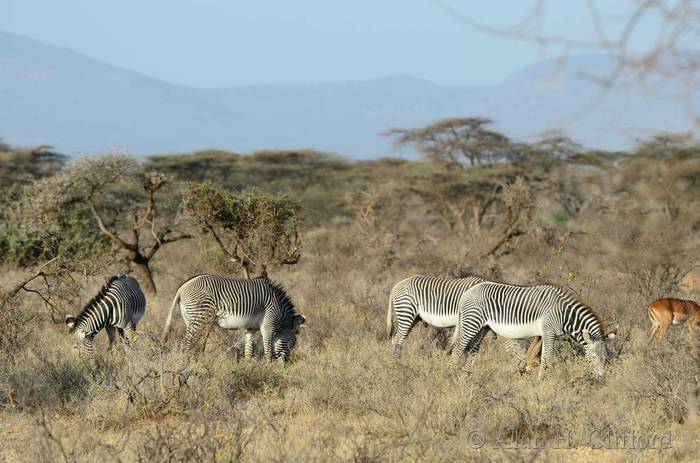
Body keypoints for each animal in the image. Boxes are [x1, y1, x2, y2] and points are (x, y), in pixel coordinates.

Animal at [161, 274, 306, 363]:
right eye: (293, 343)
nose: (285, 365)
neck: (280, 311)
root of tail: (182, 287)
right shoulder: (268, 325)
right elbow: (268, 350)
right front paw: (269, 369)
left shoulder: (250, 328)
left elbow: (248, 351)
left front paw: (248, 368)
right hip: (200, 317)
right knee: (186, 343)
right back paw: (186, 367)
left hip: (190, 319)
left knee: (192, 343)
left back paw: (195, 365)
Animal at [449, 282, 616, 379]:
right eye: (593, 357)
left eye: (605, 358)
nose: (600, 379)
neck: (564, 314)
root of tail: (467, 292)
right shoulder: (548, 332)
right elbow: (546, 358)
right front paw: (542, 381)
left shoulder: (543, 334)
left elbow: (536, 355)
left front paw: (533, 372)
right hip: (471, 323)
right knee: (457, 349)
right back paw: (450, 375)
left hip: (483, 327)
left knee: (473, 349)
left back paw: (466, 376)